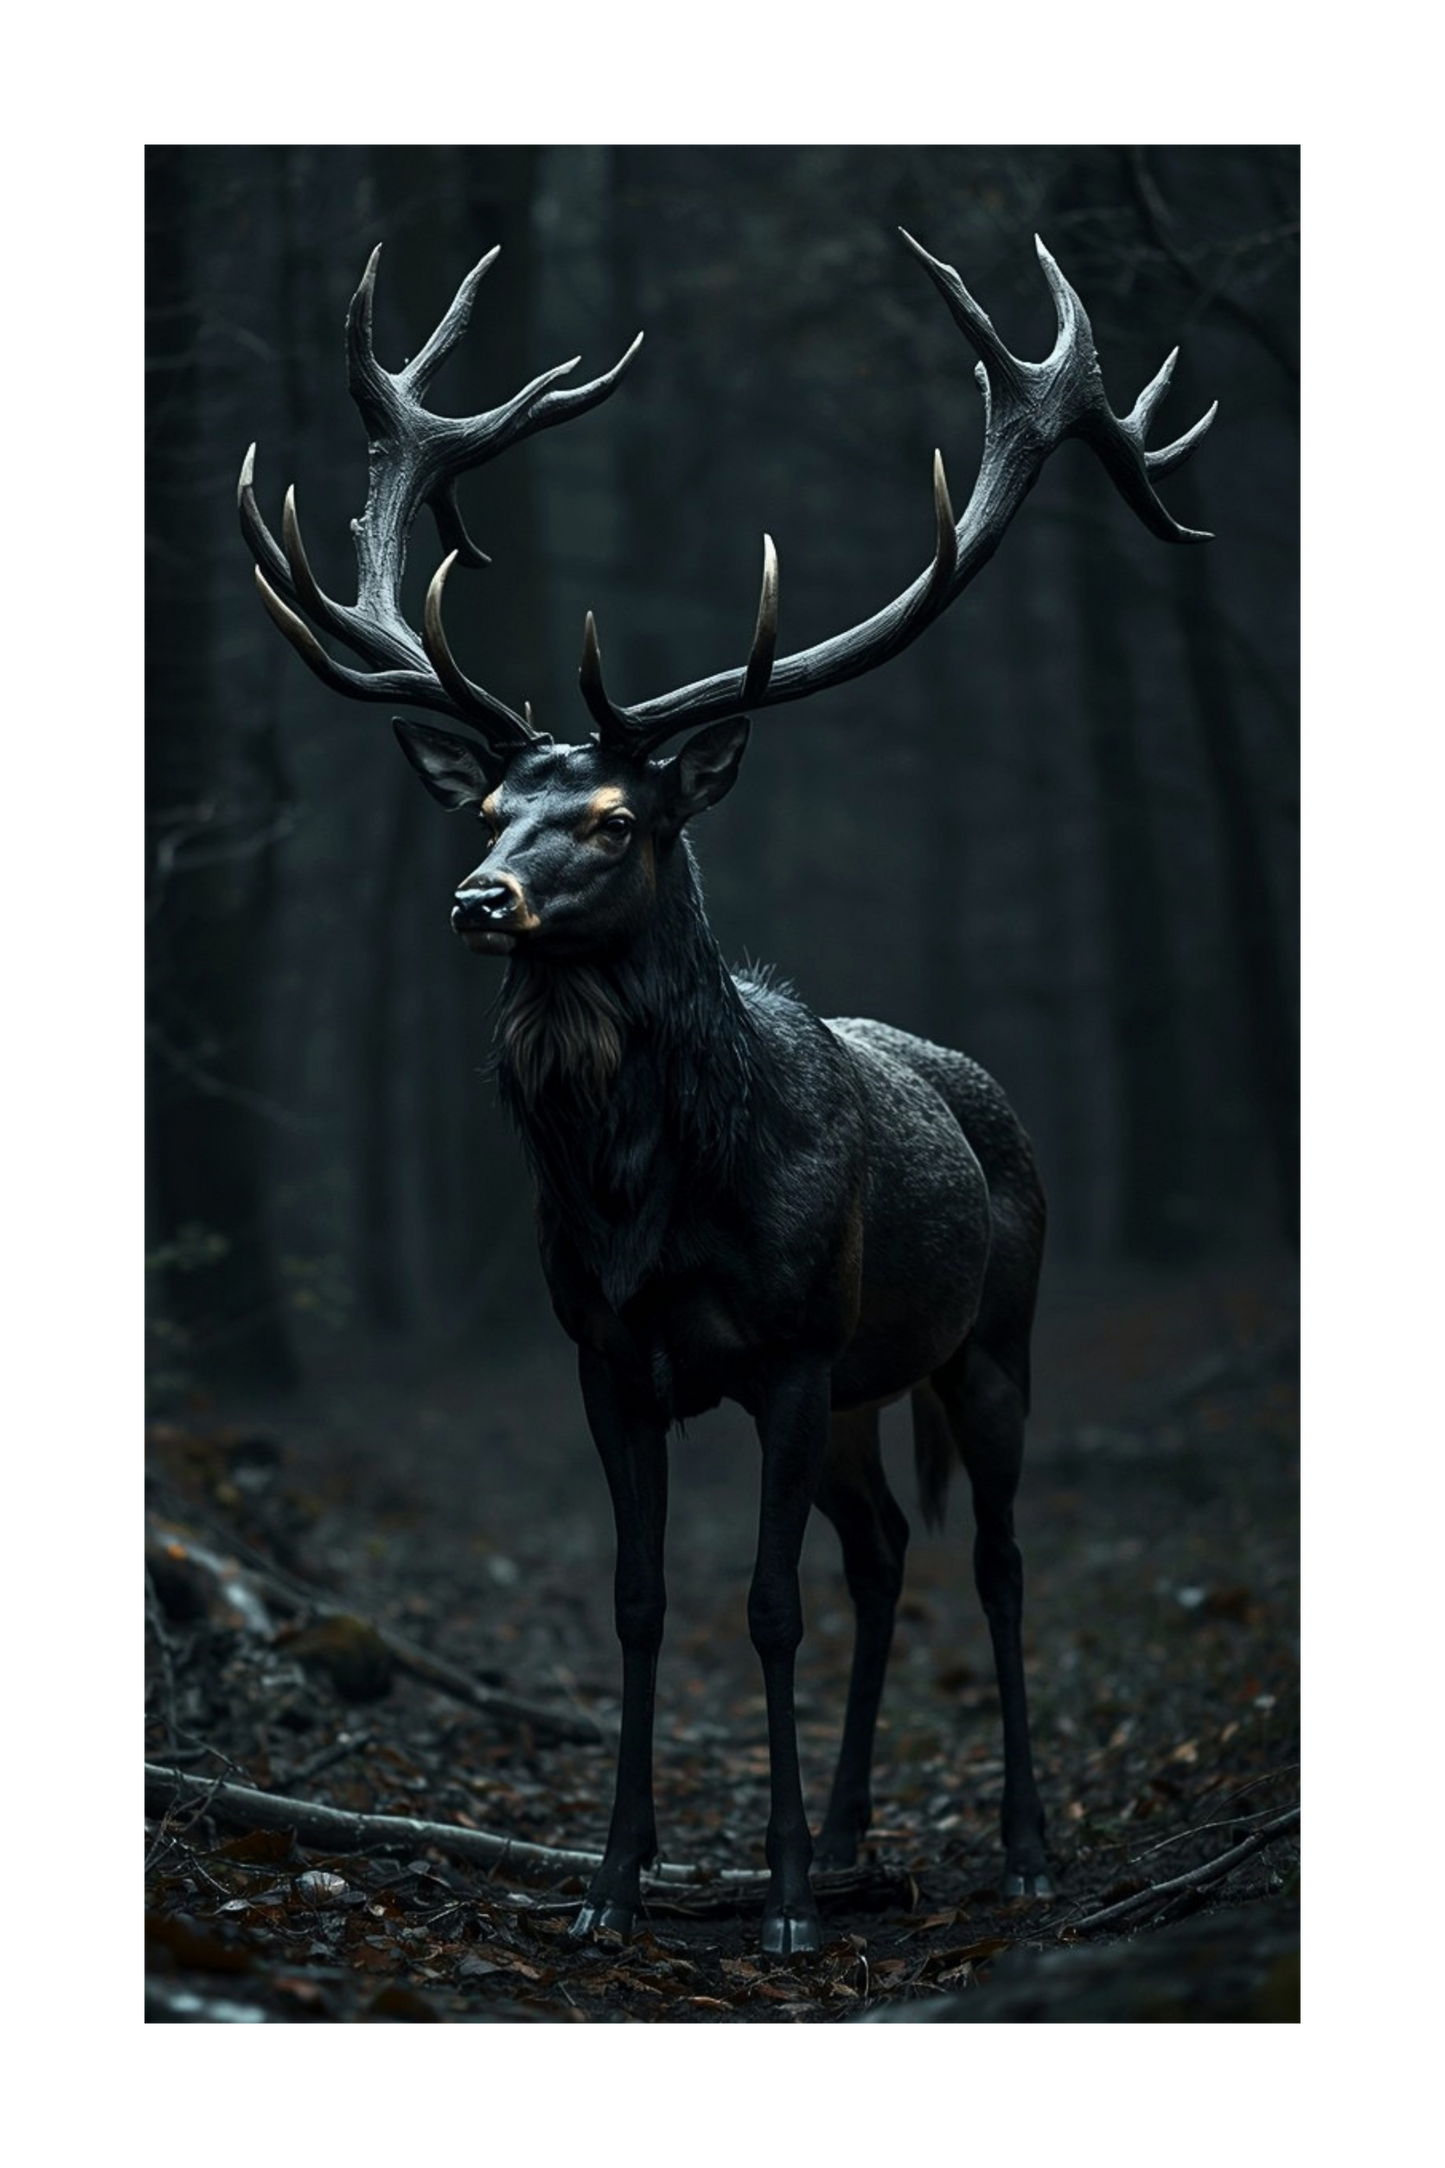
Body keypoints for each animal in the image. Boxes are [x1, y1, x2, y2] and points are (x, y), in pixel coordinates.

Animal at [240, 224, 1214, 1955]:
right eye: (485, 807)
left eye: (619, 818)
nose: (479, 899)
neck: (649, 1200)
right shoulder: (610, 1356)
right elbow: (641, 1606)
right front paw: (617, 1886)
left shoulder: (790, 1349)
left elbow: (764, 1611)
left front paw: (777, 1909)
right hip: (867, 1393)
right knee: (885, 1549)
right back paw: (852, 1829)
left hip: (985, 1342)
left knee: (996, 1559)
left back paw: (1016, 1845)